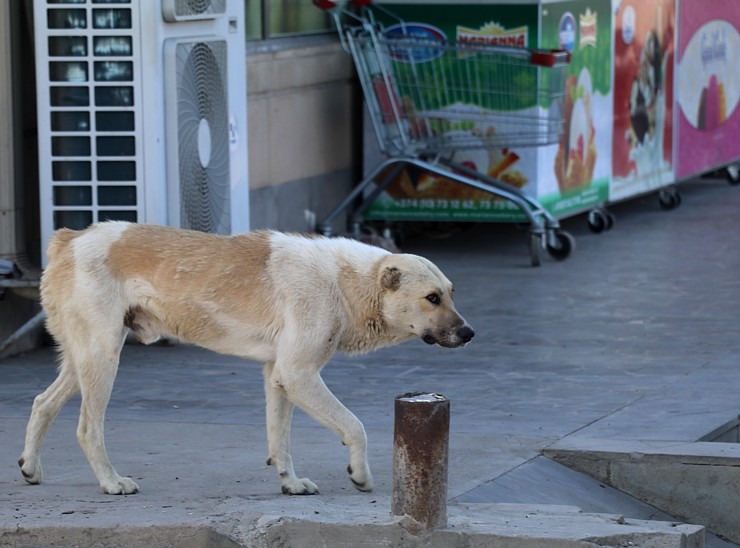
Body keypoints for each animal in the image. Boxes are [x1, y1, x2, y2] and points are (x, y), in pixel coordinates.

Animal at [18, 220, 474, 494]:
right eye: (432, 298)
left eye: (452, 293)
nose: (469, 334)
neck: (346, 281)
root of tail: (70, 237)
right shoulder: (298, 374)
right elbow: (354, 426)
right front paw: (360, 475)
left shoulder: (279, 376)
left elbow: (280, 439)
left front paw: (290, 483)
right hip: (102, 357)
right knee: (86, 428)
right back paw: (111, 482)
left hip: (84, 359)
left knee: (42, 403)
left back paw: (30, 468)